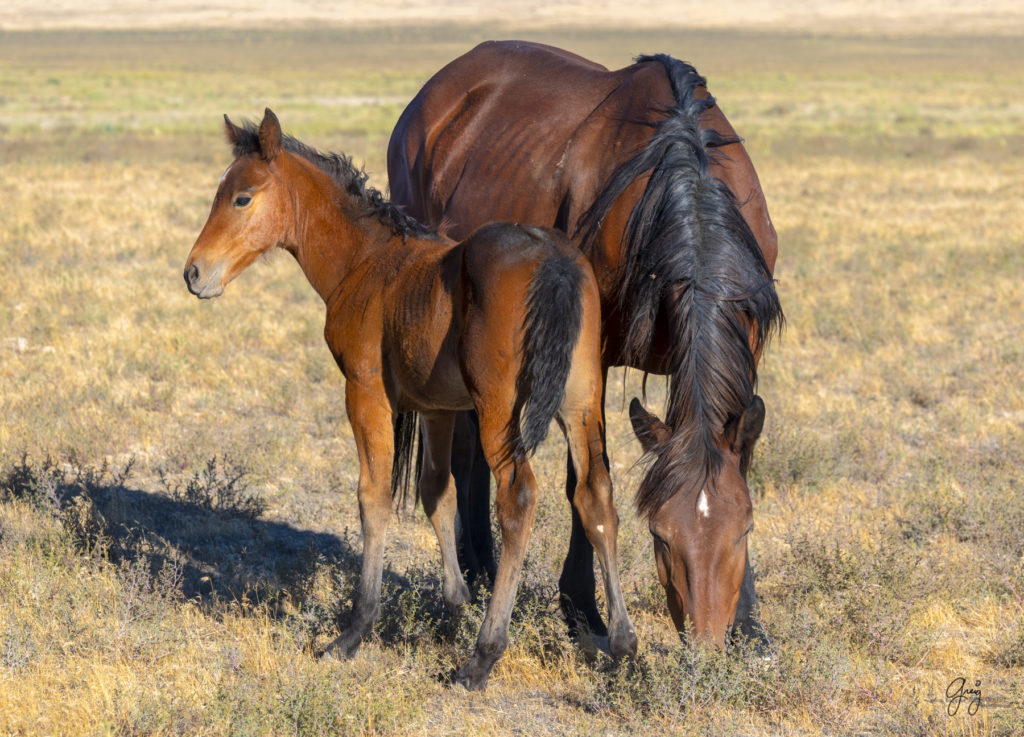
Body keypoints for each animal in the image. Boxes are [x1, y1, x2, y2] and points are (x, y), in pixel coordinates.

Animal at [183, 109, 630, 691]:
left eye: (242, 197)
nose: (193, 273)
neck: (367, 261)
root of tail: (555, 260)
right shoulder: (438, 408)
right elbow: (436, 493)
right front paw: (453, 607)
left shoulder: (366, 392)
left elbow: (372, 497)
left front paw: (354, 630)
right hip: (580, 401)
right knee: (596, 492)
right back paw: (621, 642)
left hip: (500, 411)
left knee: (518, 499)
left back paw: (484, 656)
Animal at [389, 43, 782, 646]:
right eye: (661, 536)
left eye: (744, 529)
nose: (705, 644)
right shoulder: (587, 356)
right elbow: (587, 477)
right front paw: (582, 610)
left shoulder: (748, 344)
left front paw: (750, 626)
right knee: (464, 448)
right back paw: (478, 571)